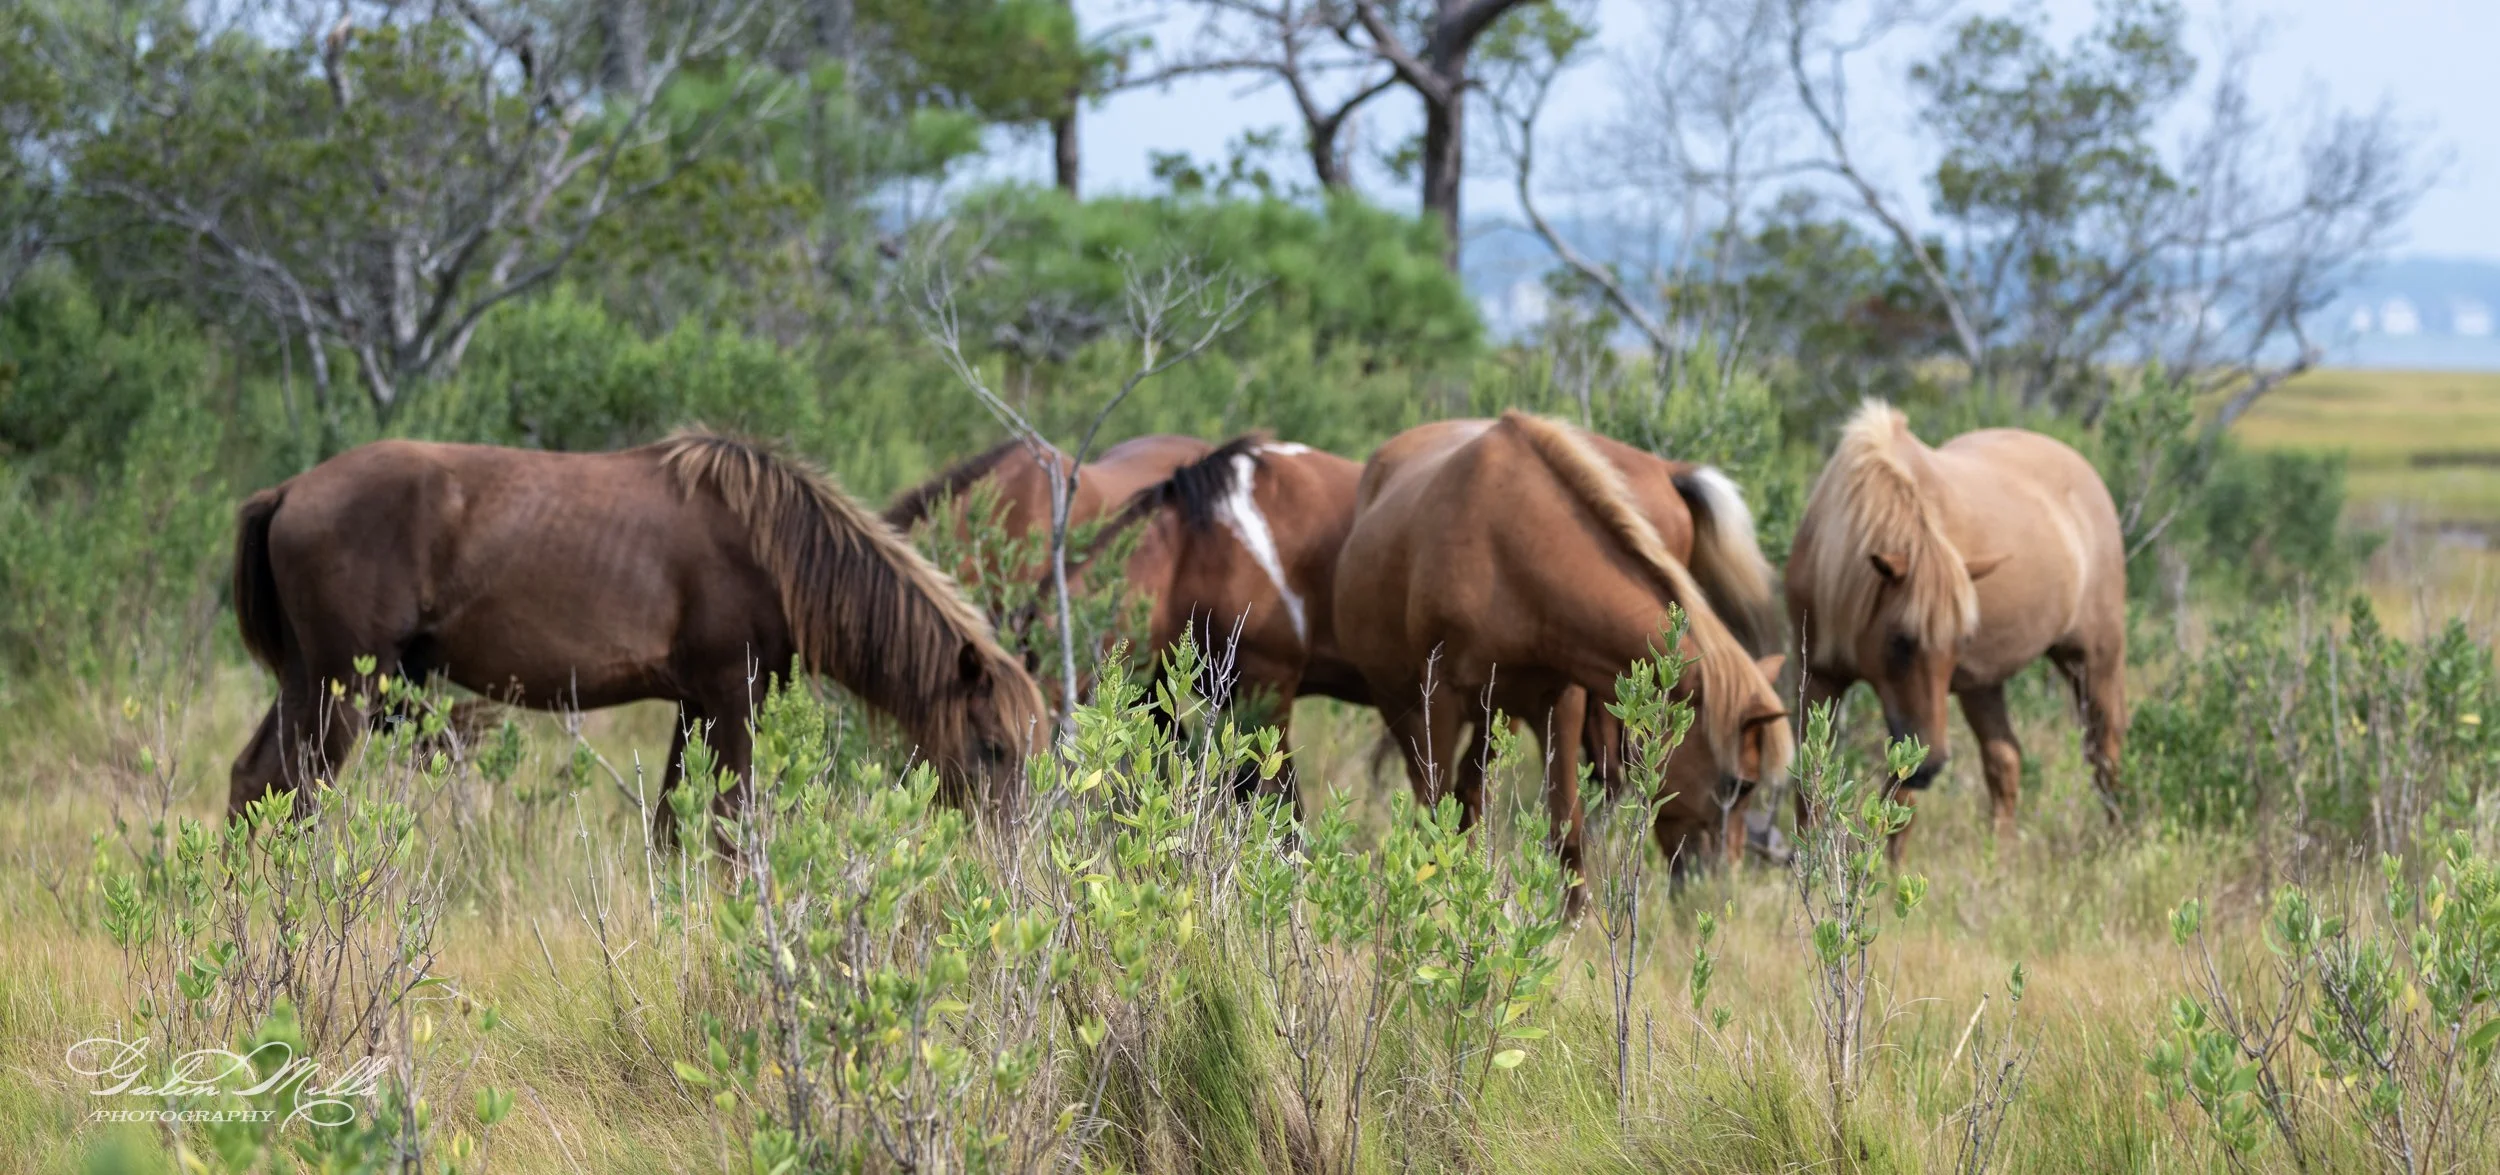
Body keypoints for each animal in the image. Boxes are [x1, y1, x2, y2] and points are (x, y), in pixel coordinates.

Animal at [228, 431, 1049, 843]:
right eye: (992, 748)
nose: (1007, 853)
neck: (776, 550)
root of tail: (288, 492)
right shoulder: (733, 697)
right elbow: (728, 826)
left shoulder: (695, 704)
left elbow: (671, 827)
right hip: (343, 685)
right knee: (299, 796)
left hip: (307, 680)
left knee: (254, 780)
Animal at [1333, 412, 1793, 890]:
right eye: (1737, 785)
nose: (1719, 881)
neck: (1507, 550)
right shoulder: (1438, 702)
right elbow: (1435, 814)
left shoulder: (1559, 702)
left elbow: (1566, 826)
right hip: (1400, 702)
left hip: (1498, 715)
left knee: (1472, 792)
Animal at [1787, 399, 2126, 857]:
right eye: (1901, 641)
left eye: (1960, 641)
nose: (1933, 767)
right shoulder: (1820, 678)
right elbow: (1809, 784)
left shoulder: (1918, 721)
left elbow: (1899, 805)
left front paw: (1888, 874)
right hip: (1983, 685)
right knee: (2005, 759)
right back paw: (2001, 856)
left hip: (2093, 660)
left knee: (2104, 753)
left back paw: (2117, 840)